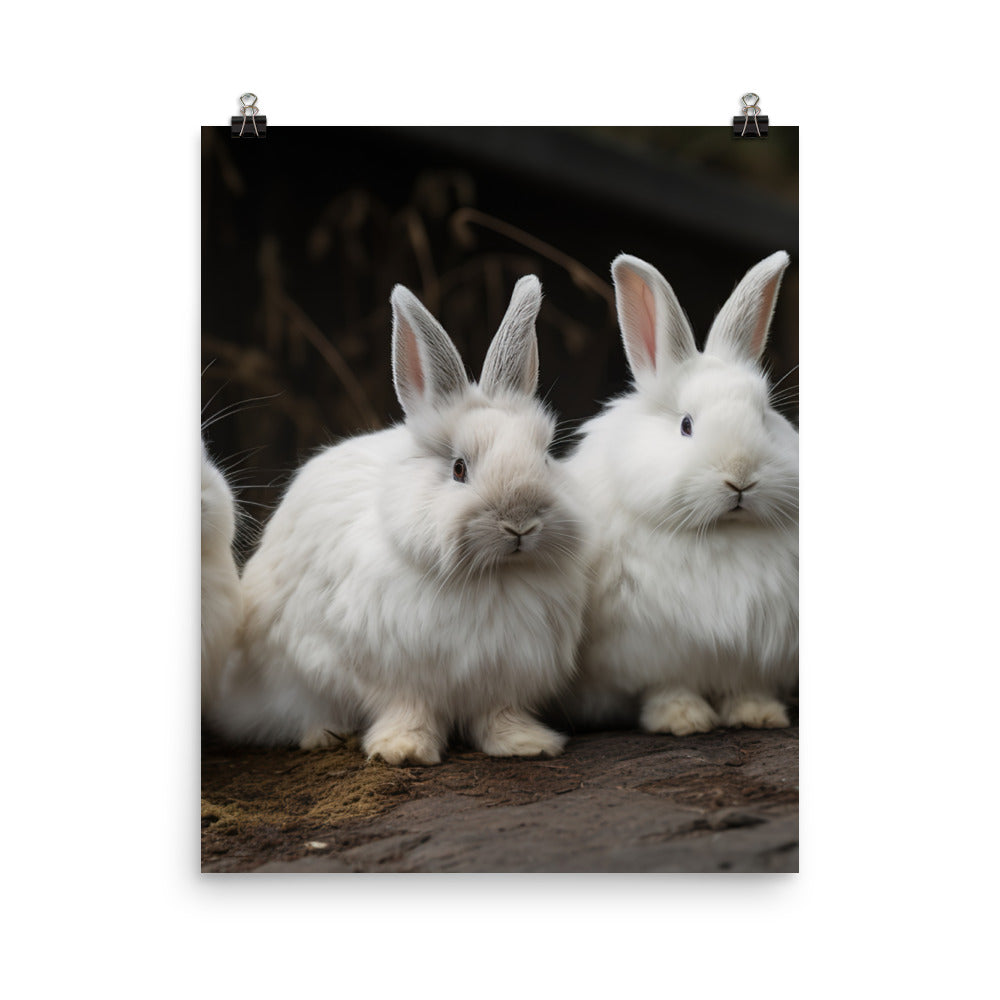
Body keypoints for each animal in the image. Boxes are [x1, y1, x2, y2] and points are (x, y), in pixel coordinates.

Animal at [208, 276, 589, 765]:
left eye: (544, 459)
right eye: (459, 469)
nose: (520, 523)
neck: (490, 577)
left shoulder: (504, 675)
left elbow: (497, 713)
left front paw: (524, 744)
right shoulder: (395, 672)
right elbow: (408, 707)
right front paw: (402, 750)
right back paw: (324, 735)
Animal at [561, 251, 798, 736]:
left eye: (764, 417)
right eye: (686, 424)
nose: (740, 476)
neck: (723, 533)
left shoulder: (751, 653)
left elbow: (745, 686)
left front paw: (758, 715)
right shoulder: (651, 650)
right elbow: (668, 685)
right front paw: (683, 719)